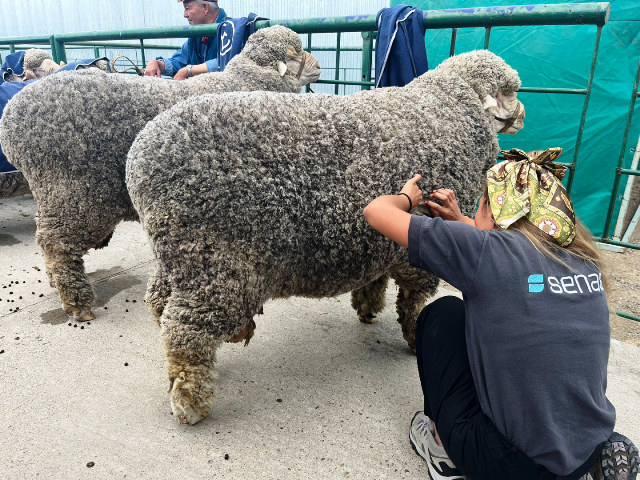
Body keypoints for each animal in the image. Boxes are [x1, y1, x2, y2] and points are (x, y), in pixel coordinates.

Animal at [0, 25, 321, 321]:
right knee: (56, 243)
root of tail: (11, 120)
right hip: (72, 192)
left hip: (52, 192)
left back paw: (56, 282)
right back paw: (77, 302)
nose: (318, 67)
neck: (247, 80)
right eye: (297, 53)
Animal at [125, 49, 525, 424]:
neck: (449, 108)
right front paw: (415, 338)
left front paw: (368, 306)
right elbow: (414, 303)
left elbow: (375, 278)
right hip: (216, 265)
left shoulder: (378, 242)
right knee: (185, 331)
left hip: (181, 253)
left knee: (159, 301)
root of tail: (139, 159)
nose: (522, 115)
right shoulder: (421, 246)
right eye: (511, 91)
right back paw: (190, 401)